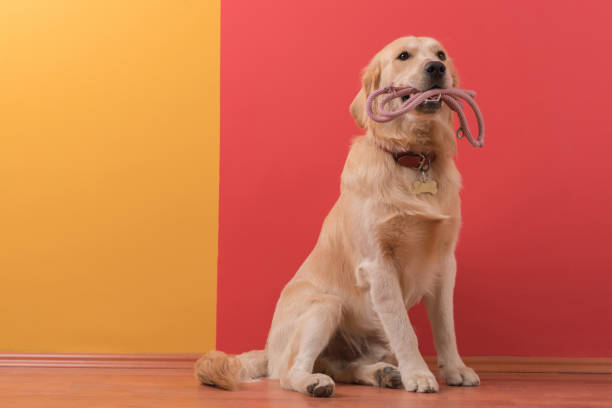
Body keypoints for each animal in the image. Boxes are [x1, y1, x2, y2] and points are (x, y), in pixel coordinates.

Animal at [195, 36, 478, 396]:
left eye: (440, 54)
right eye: (403, 56)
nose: (436, 68)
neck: (413, 159)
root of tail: (268, 349)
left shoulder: (444, 262)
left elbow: (446, 328)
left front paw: (455, 369)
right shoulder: (378, 264)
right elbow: (405, 329)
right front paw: (418, 373)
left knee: (344, 366)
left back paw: (383, 374)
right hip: (325, 305)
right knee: (290, 374)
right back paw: (316, 382)